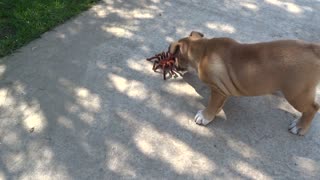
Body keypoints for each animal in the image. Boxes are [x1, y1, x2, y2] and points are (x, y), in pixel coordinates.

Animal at [168, 31, 320, 135]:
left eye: (174, 57)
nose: (174, 67)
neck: (203, 49)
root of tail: (314, 48)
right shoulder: (223, 91)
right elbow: (219, 104)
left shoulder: (217, 90)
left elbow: (212, 105)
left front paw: (205, 116)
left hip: (296, 94)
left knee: (313, 108)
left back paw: (300, 127)